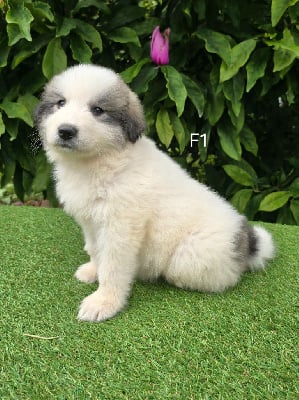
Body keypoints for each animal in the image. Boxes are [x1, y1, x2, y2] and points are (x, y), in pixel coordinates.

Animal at [35, 65, 276, 322]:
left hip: (189, 255)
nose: (65, 131)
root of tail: (245, 241)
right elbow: (94, 249)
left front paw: (104, 302)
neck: (97, 162)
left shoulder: (121, 227)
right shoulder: (90, 221)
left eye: (98, 110)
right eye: (60, 103)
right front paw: (92, 271)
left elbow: (113, 265)